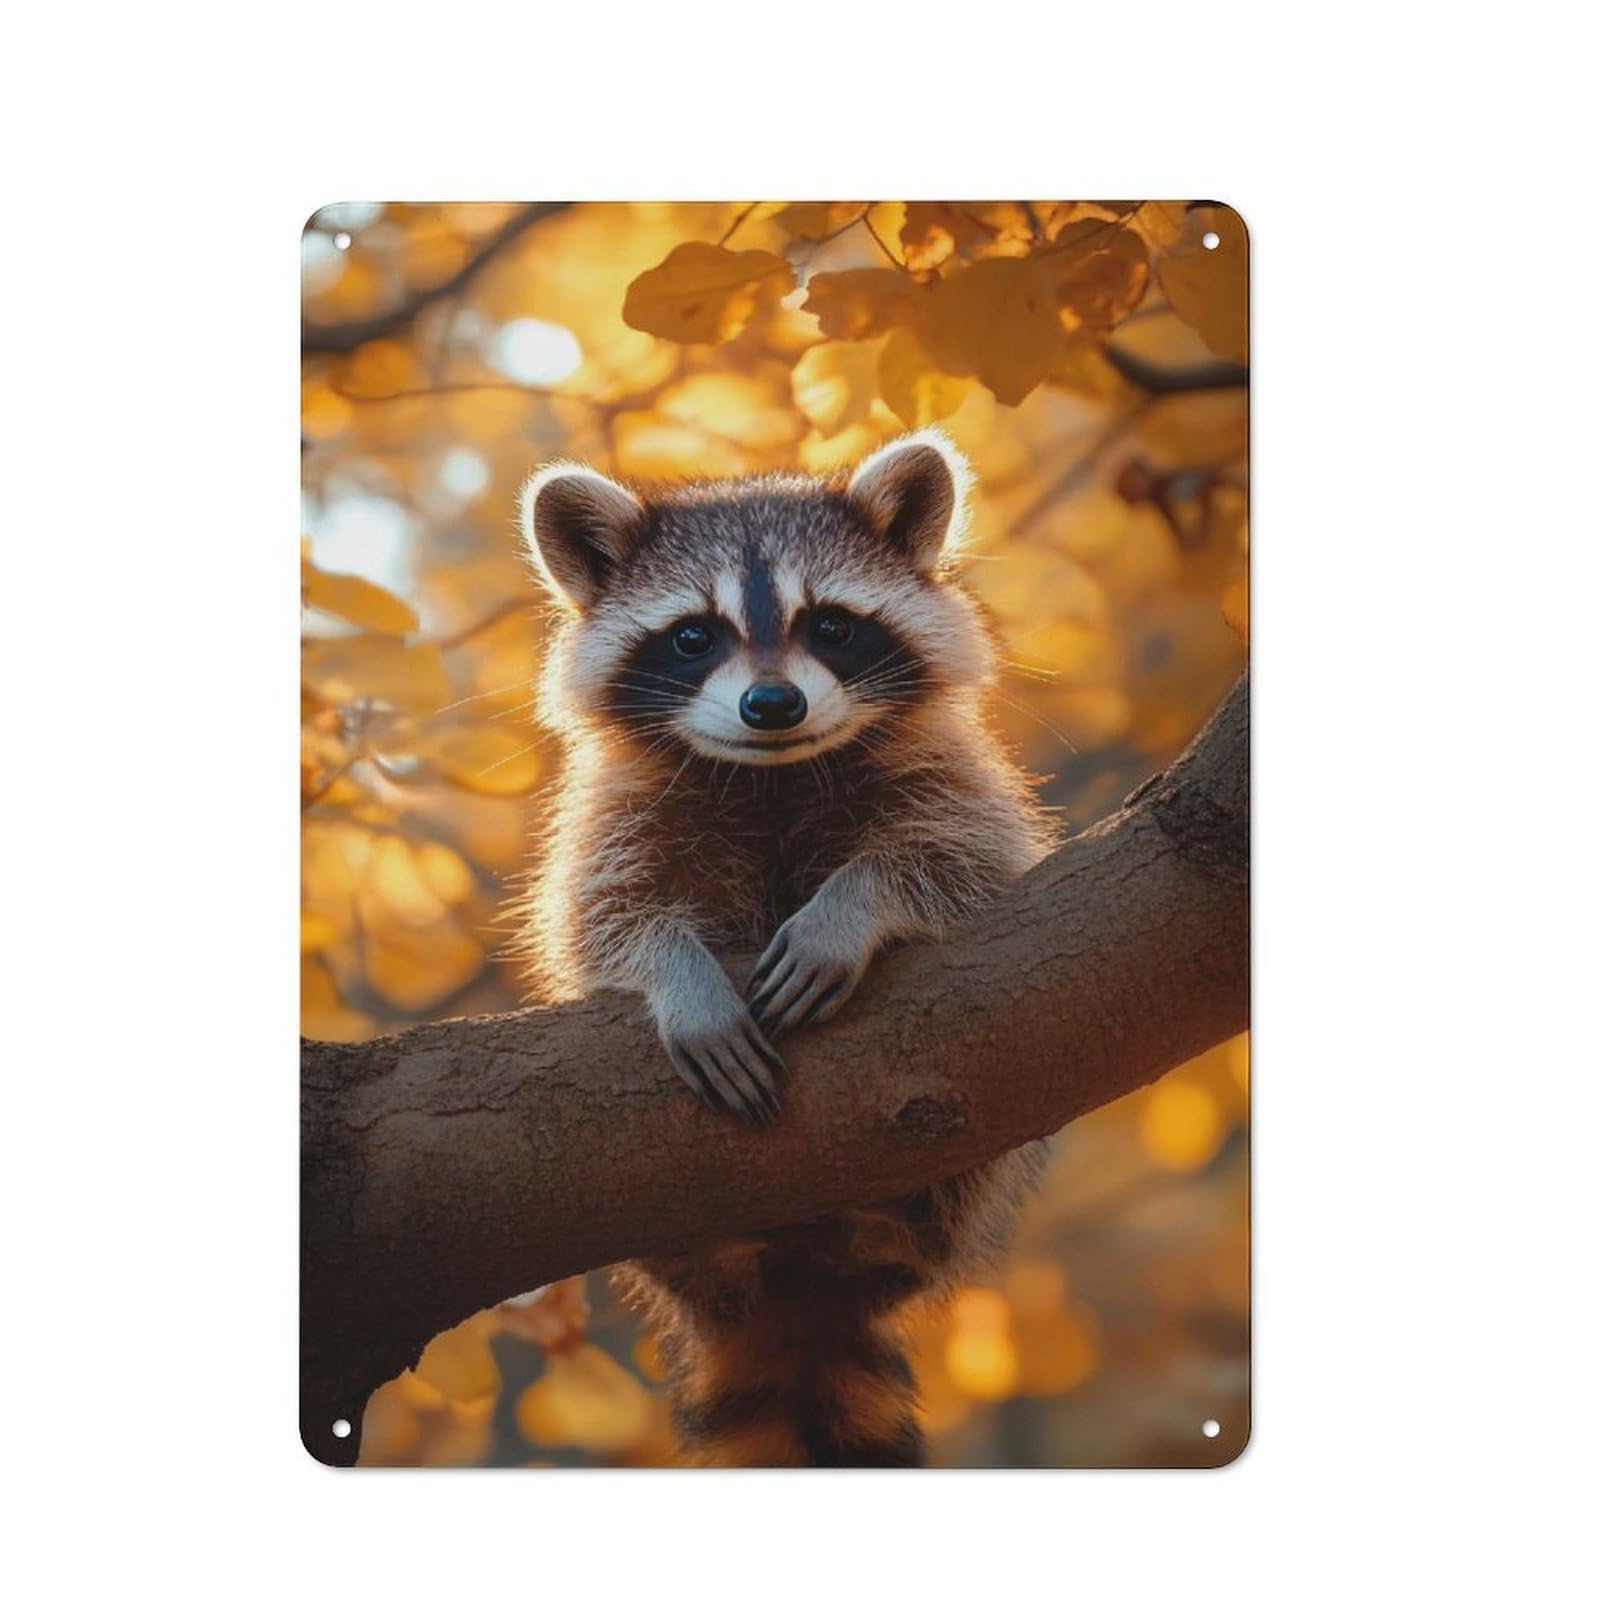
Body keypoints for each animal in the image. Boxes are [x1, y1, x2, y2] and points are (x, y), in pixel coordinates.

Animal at [515, 429, 1057, 1466]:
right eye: (694, 636)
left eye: (833, 626)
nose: (773, 703)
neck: (775, 773)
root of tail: (802, 1295)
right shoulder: (616, 813)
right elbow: (603, 920)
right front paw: (678, 976)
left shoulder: (950, 779)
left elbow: (959, 859)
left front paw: (850, 908)